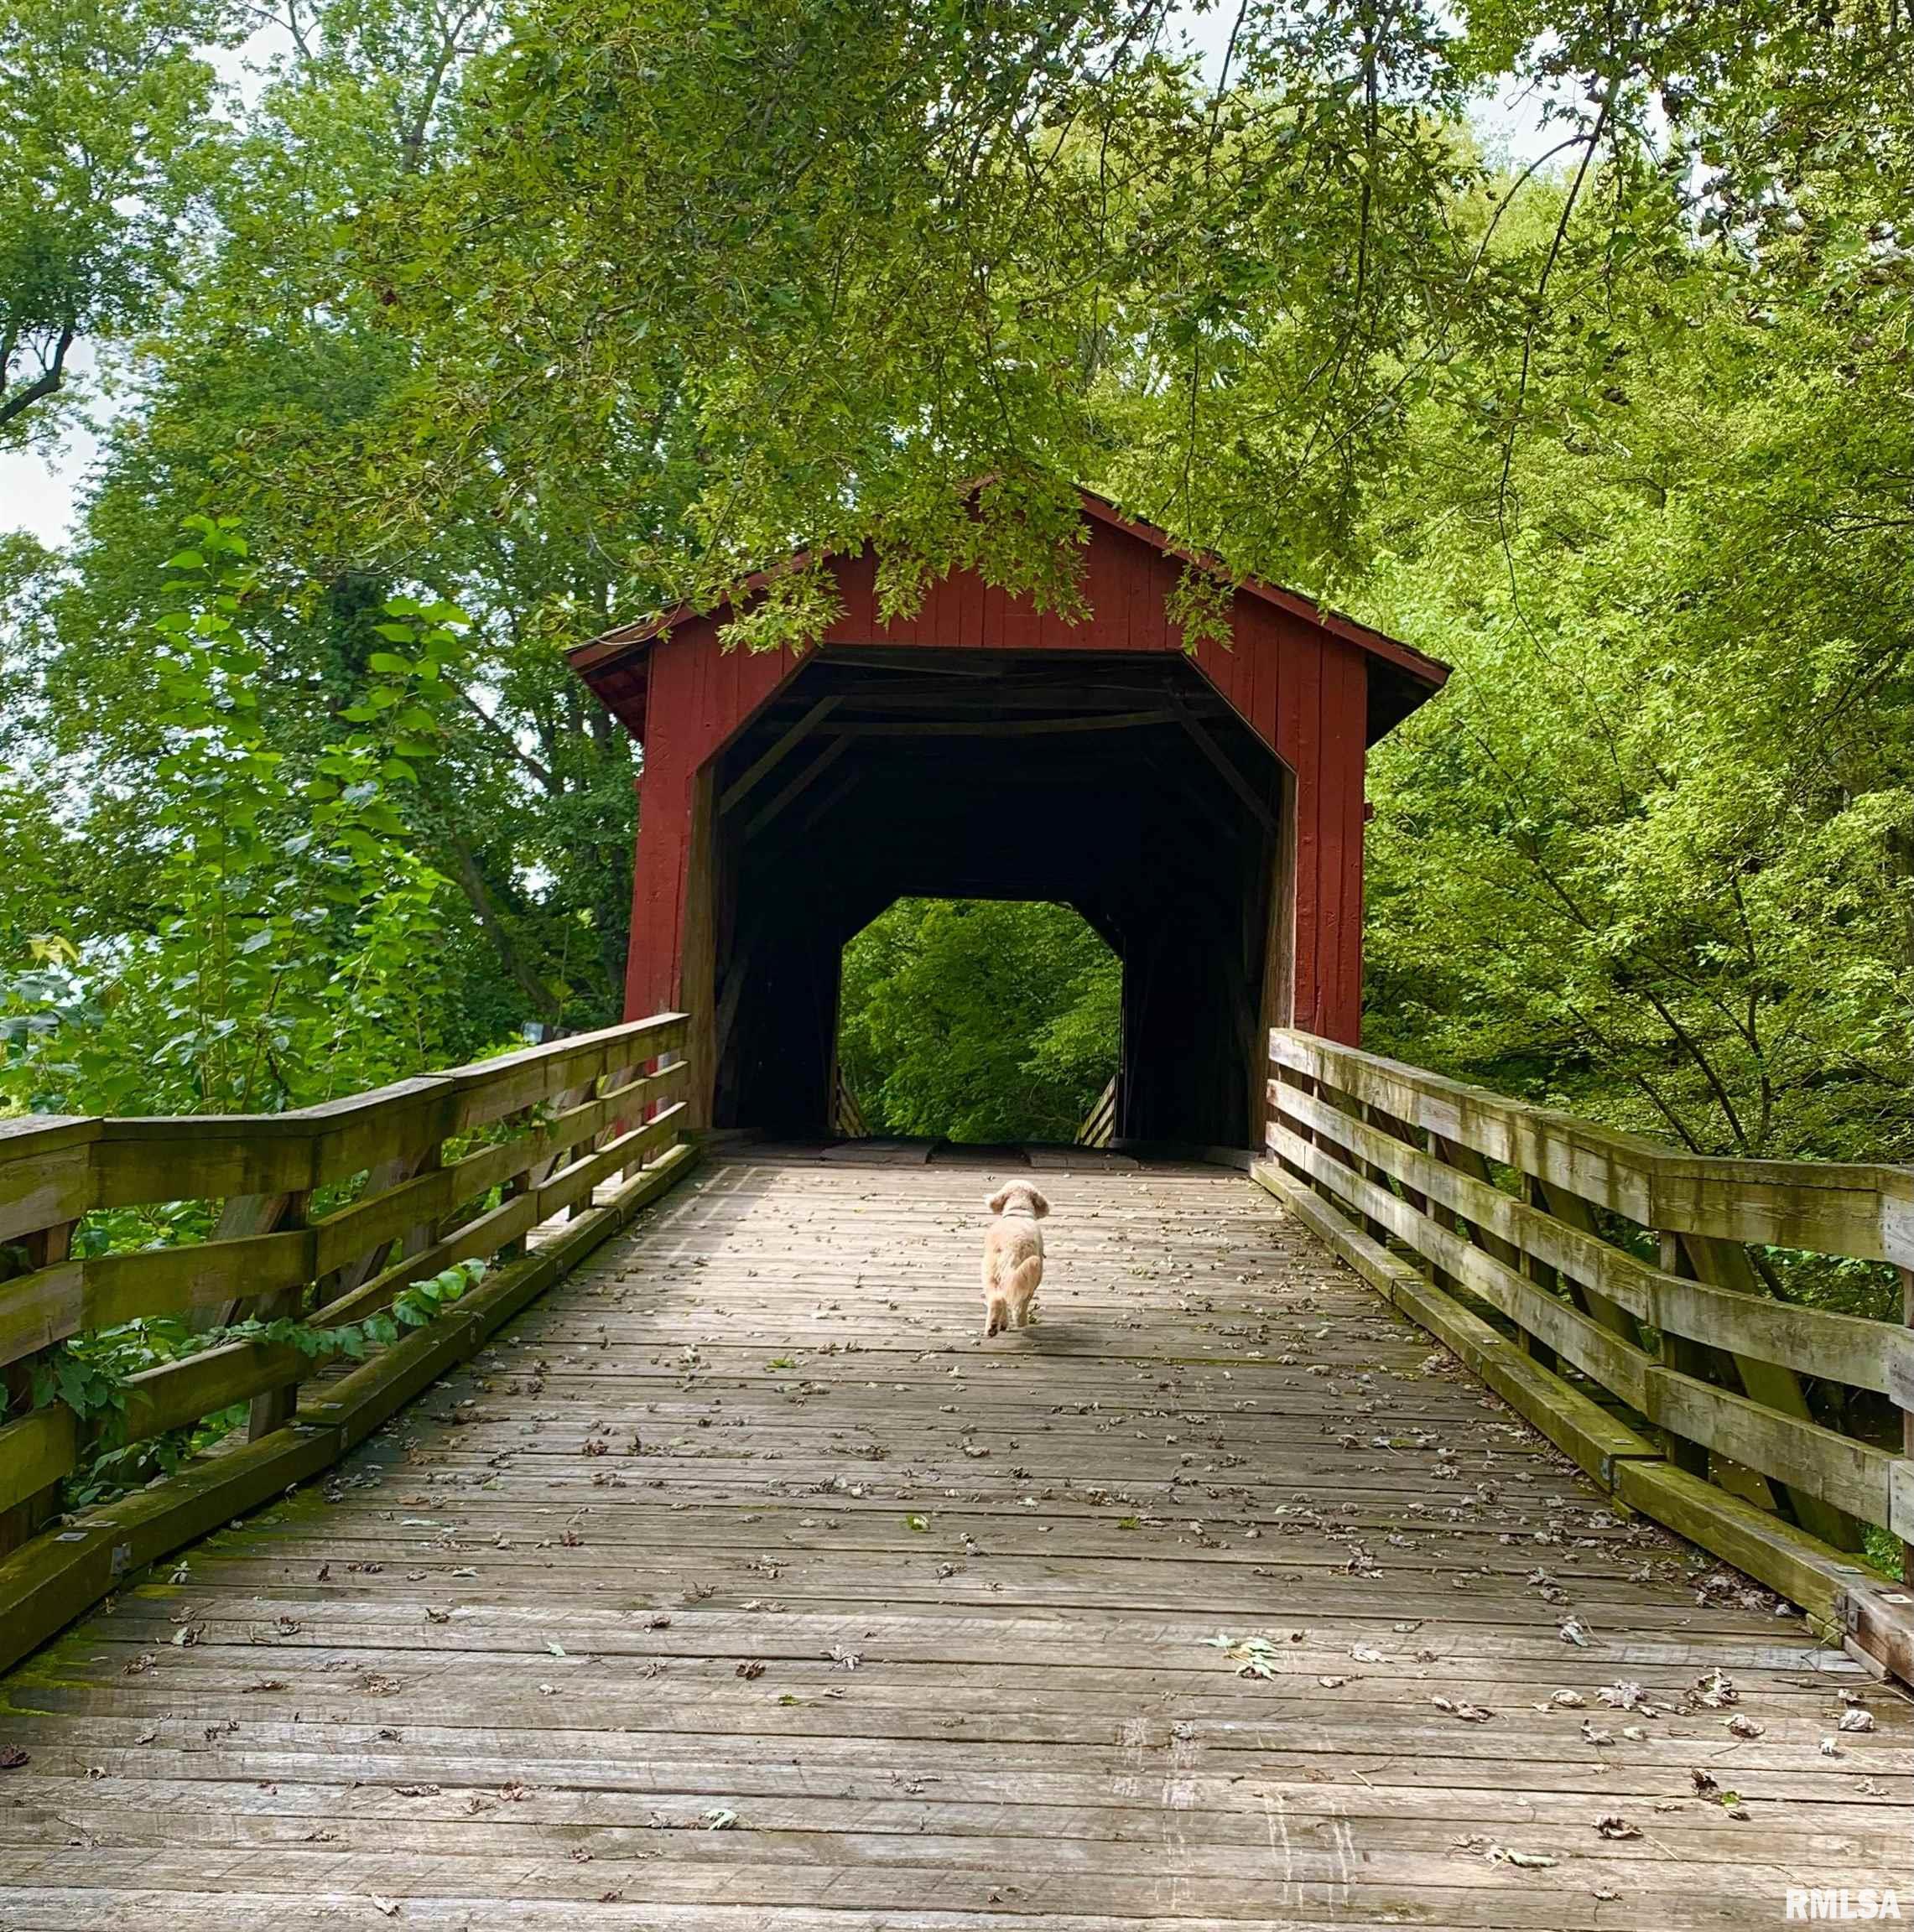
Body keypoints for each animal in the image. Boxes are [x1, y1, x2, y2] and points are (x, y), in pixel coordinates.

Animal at [990, 1182, 1051, 1337]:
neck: (1018, 1210)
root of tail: (1010, 1245)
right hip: (1029, 1271)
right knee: (1021, 1302)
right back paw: (1020, 1321)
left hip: (991, 1272)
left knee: (997, 1298)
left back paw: (993, 1327)